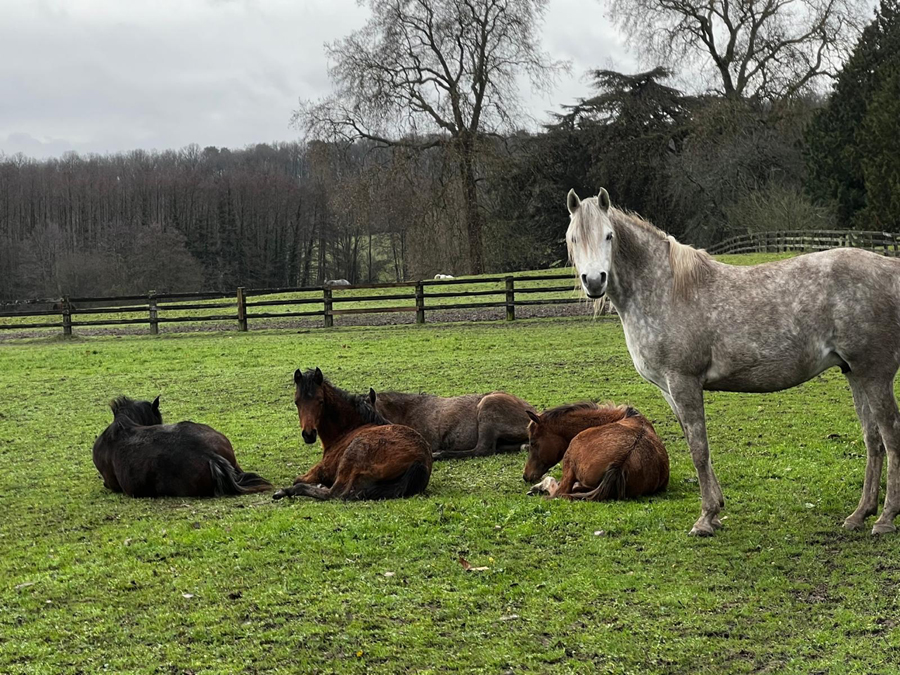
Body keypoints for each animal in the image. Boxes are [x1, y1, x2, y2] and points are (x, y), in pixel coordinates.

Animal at [270, 370, 432, 502]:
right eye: (296, 402)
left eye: (320, 401)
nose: (309, 434)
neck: (349, 428)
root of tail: (419, 461)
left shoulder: (322, 470)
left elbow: (297, 480)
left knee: (335, 494)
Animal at [568, 187, 900, 536]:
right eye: (574, 238)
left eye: (609, 235)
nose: (594, 281)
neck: (665, 289)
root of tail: (891, 268)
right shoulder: (668, 390)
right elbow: (694, 443)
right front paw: (715, 511)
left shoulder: (684, 382)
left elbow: (699, 449)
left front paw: (705, 518)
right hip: (855, 373)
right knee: (873, 439)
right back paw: (860, 514)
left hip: (875, 375)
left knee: (890, 435)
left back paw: (885, 518)